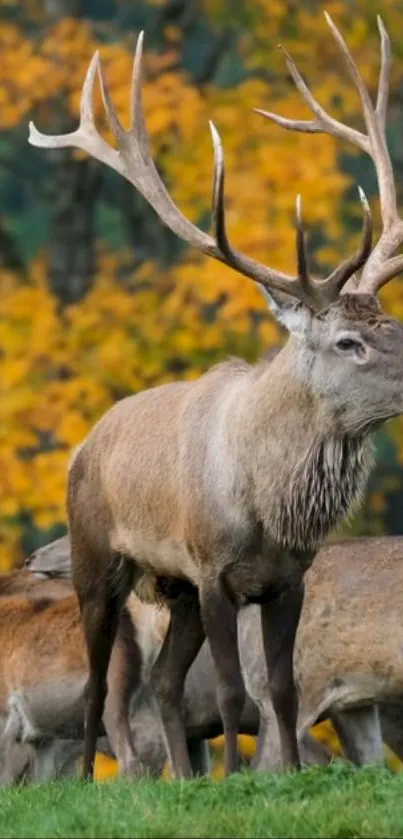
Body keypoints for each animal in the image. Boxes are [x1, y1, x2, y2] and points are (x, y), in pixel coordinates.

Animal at [30, 16, 403, 784]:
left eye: (395, 323)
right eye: (348, 340)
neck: (265, 507)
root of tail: (90, 439)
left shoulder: (288, 578)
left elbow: (282, 689)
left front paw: (283, 776)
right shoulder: (211, 570)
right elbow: (235, 690)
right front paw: (237, 779)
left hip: (170, 590)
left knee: (167, 682)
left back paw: (180, 772)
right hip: (98, 560)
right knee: (98, 683)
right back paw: (88, 781)